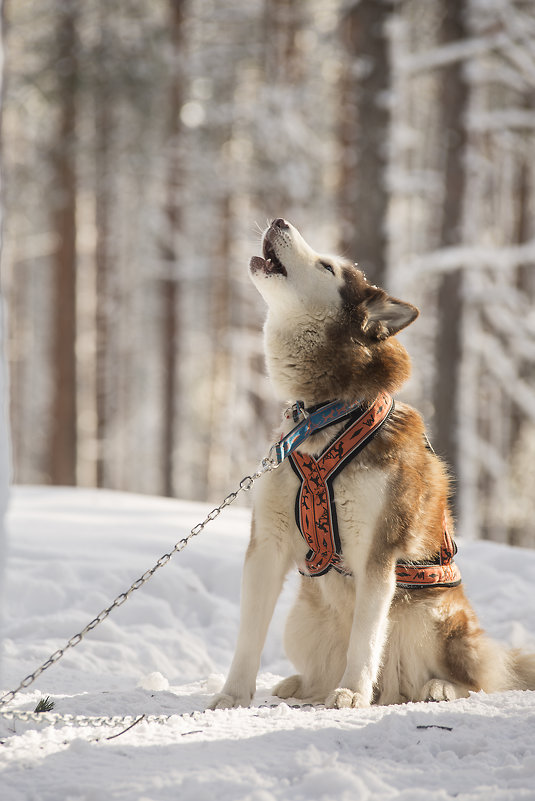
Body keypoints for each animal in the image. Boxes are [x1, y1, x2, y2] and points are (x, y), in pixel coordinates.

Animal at [209, 217, 535, 708]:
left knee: (473, 677)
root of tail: (391, 689)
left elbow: (365, 638)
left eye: (327, 267)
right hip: (301, 624)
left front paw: (350, 692)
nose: (280, 220)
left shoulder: (378, 549)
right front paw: (233, 694)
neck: (325, 414)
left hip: (434, 618)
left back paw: (435, 687)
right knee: (322, 667)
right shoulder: (267, 542)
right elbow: (249, 635)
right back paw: (299, 685)